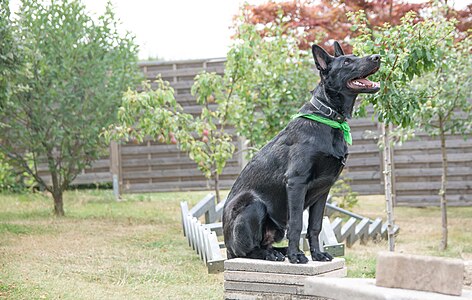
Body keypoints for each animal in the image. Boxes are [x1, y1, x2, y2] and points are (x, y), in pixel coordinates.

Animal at [223, 41, 382, 262]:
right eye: (347, 62)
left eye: (356, 56)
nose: (378, 57)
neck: (329, 117)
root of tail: (227, 247)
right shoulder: (296, 182)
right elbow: (297, 224)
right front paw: (296, 256)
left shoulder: (324, 189)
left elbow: (315, 227)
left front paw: (317, 254)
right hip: (252, 204)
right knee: (247, 251)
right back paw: (272, 254)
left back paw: (278, 251)